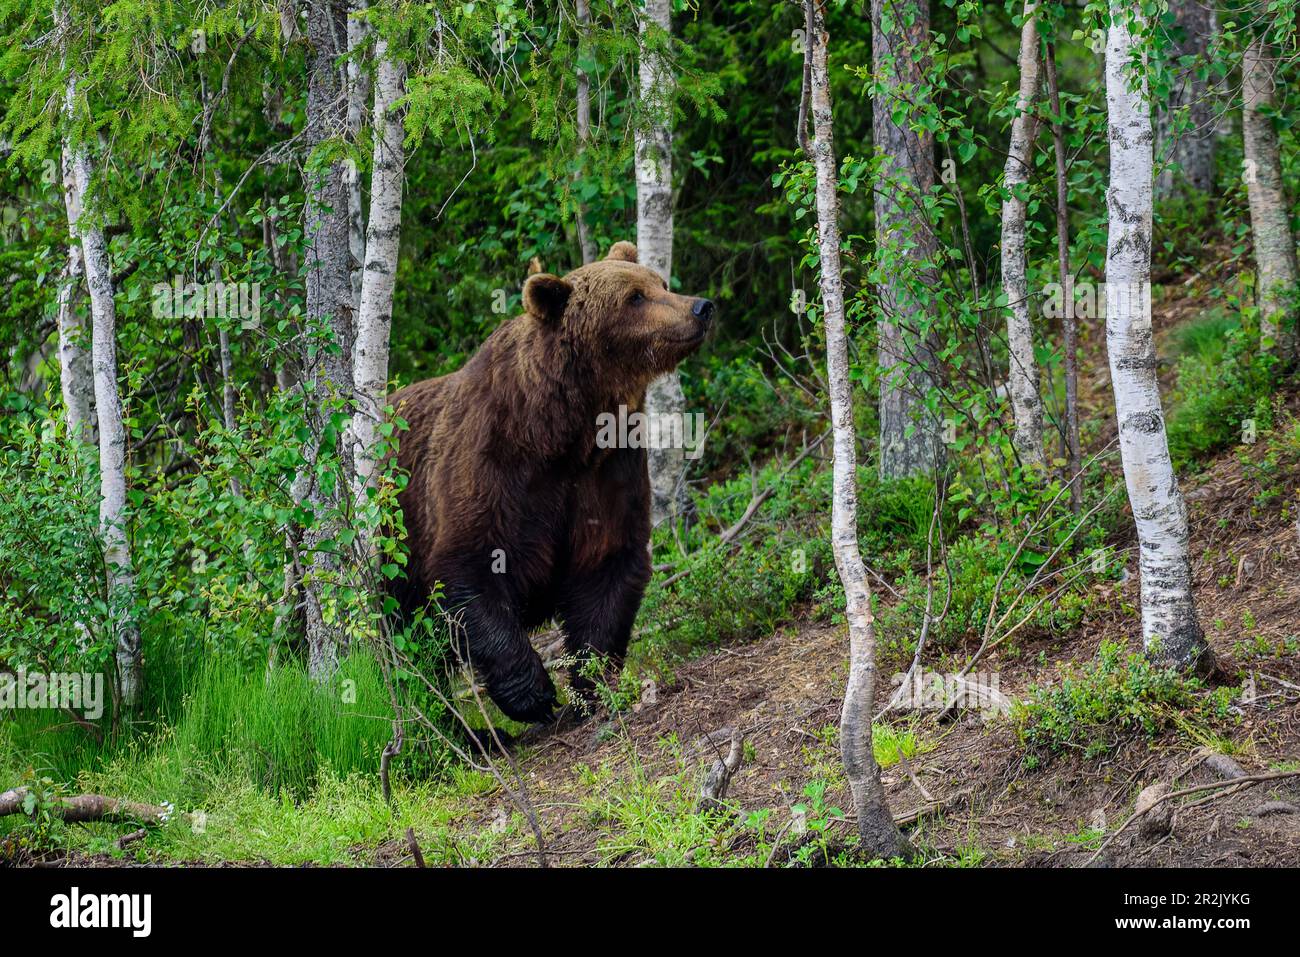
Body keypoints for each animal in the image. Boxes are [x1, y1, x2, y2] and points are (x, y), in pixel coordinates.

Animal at [389, 242, 714, 723]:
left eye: (661, 283)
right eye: (634, 297)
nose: (700, 306)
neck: (562, 432)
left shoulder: (606, 470)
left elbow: (607, 565)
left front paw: (590, 683)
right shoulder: (490, 465)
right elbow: (469, 566)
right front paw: (535, 694)